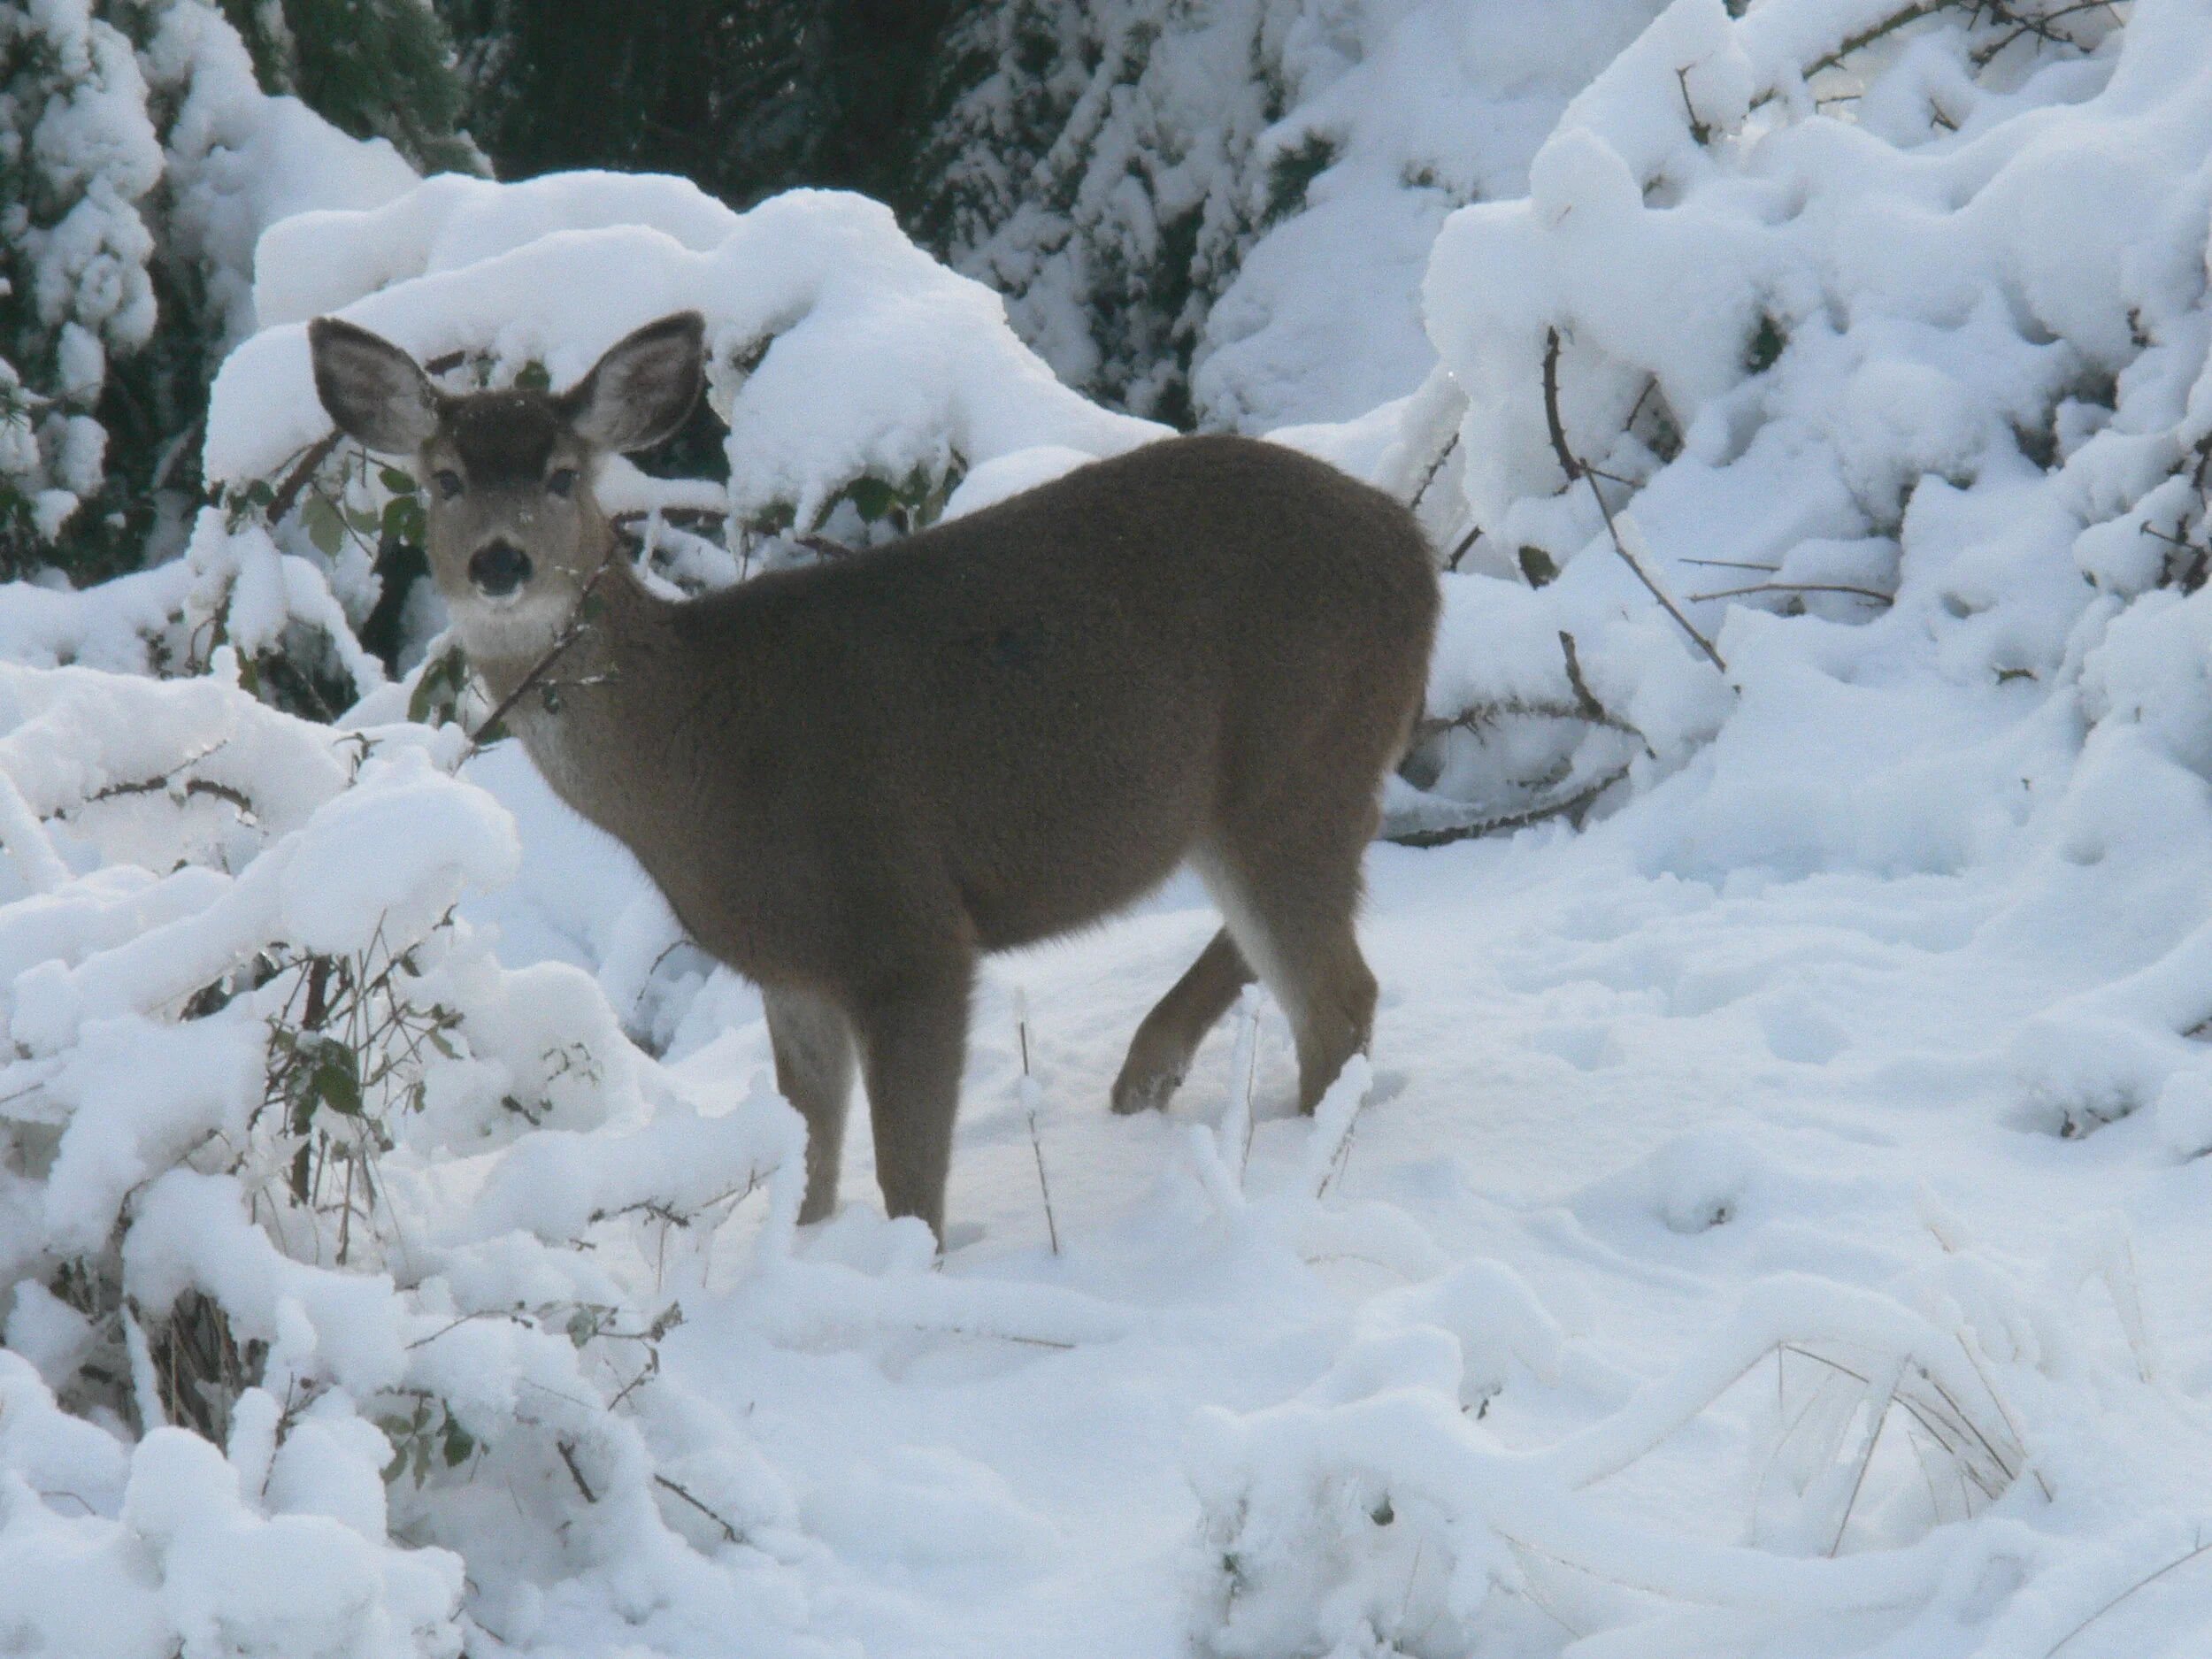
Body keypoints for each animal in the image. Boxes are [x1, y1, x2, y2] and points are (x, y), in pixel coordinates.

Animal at [309, 310, 1439, 1245]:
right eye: (445, 477)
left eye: (561, 475)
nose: (500, 565)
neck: (696, 753)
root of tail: (1417, 549)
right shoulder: (791, 964)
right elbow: (809, 1170)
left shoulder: (906, 928)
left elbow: (910, 1189)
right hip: (1271, 790)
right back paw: (1148, 1078)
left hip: (1298, 759)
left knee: (1339, 996)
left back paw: (1293, 1165)